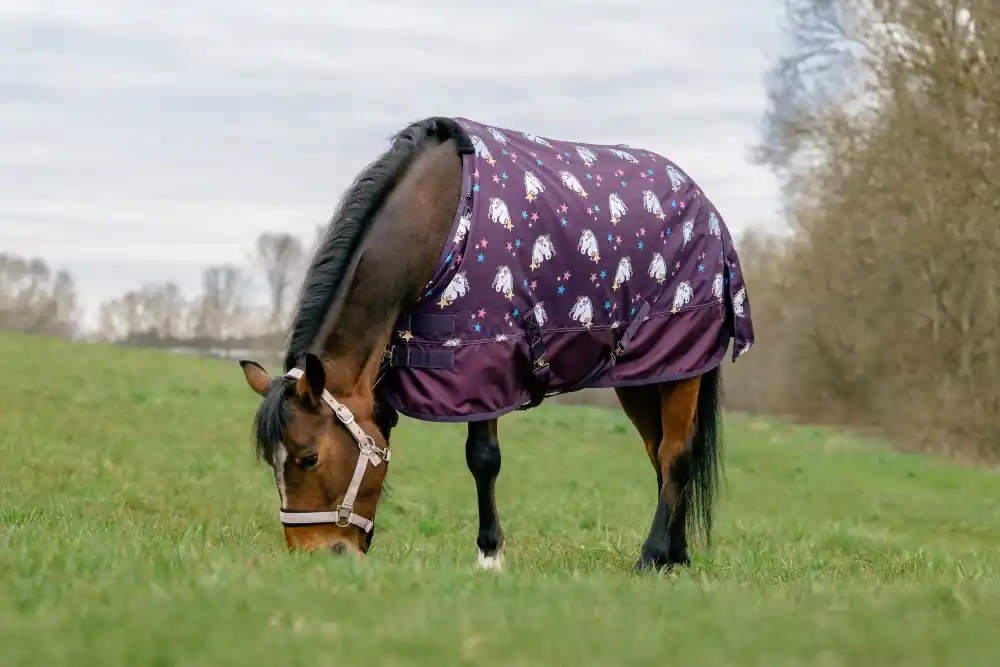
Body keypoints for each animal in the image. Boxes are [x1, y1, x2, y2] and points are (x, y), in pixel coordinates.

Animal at [238, 116, 755, 572]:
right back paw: (675, 555)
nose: (316, 556)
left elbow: (483, 460)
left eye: (308, 458)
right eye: (271, 464)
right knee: (660, 453)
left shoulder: (482, 360)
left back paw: (652, 556)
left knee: (676, 454)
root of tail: (704, 203)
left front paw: (490, 556)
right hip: (644, 373)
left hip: (683, 361)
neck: (441, 223)